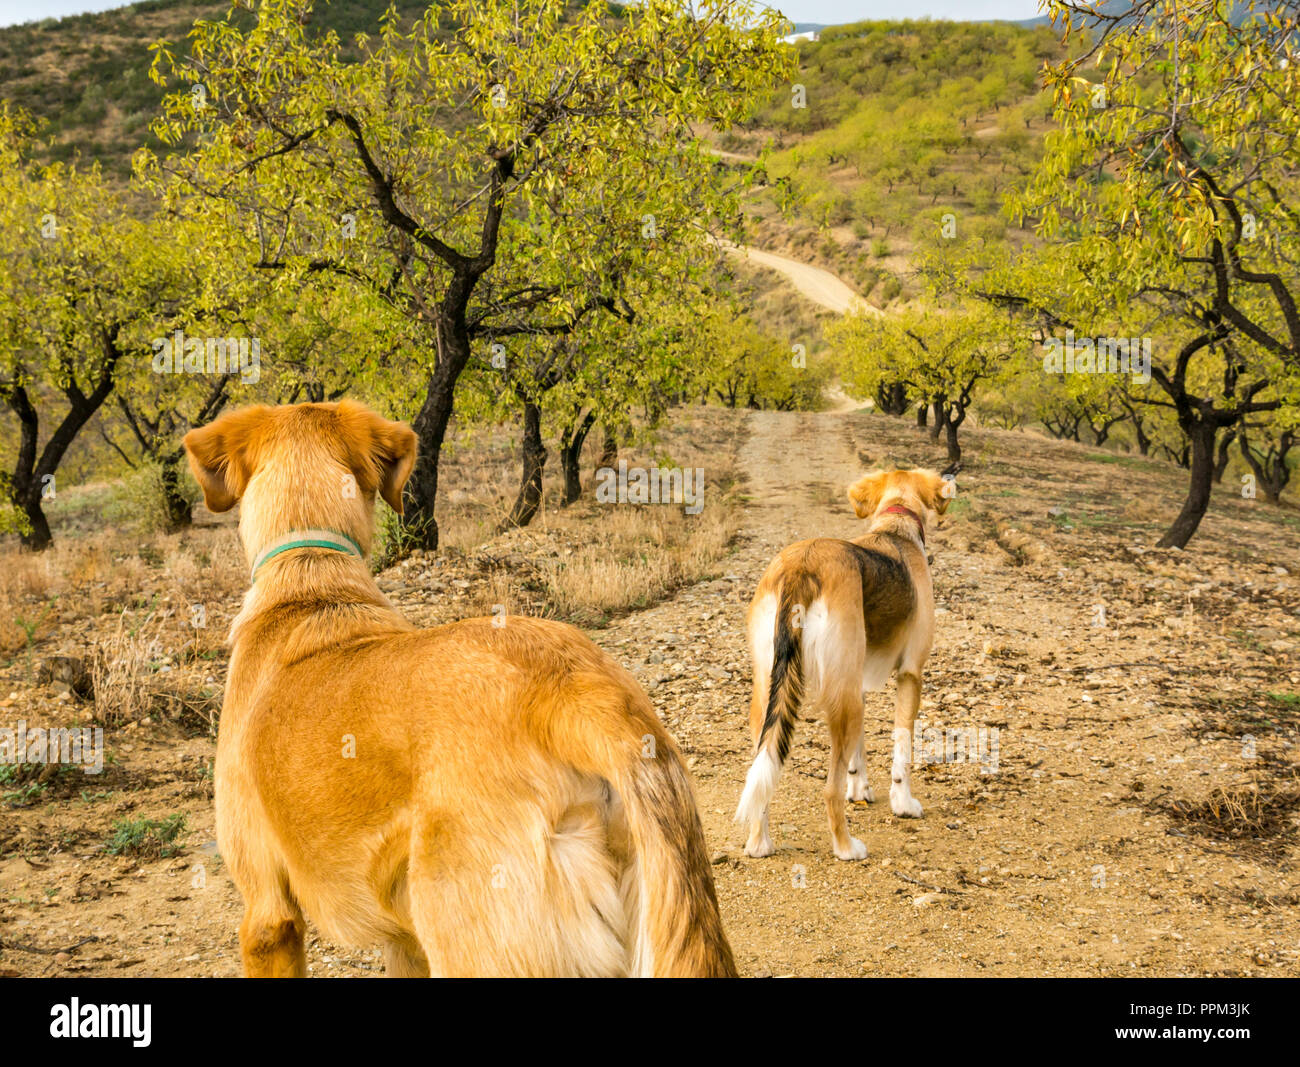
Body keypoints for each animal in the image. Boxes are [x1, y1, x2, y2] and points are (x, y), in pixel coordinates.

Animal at [733, 465, 956, 857]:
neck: (895, 526)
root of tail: (801, 566)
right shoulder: (910, 675)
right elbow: (902, 750)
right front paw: (903, 803)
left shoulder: (857, 682)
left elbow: (858, 752)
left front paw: (860, 789)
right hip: (843, 697)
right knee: (829, 790)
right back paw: (846, 847)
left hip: (774, 693)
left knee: (763, 768)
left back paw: (759, 842)